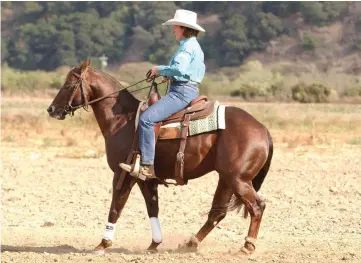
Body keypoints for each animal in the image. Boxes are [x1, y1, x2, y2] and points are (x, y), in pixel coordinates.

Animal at [46, 61, 272, 256]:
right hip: (226, 179)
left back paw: (247, 246)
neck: (122, 120)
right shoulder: (146, 179)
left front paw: (103, 243)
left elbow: (116, 207)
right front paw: (154, 244)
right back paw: (191, 243)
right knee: (217, 212)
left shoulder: (123, 174)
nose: (51, 109)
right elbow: (152, 209)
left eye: (68, 85)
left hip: (238, 179)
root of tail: (263, 130)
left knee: (257, 206)